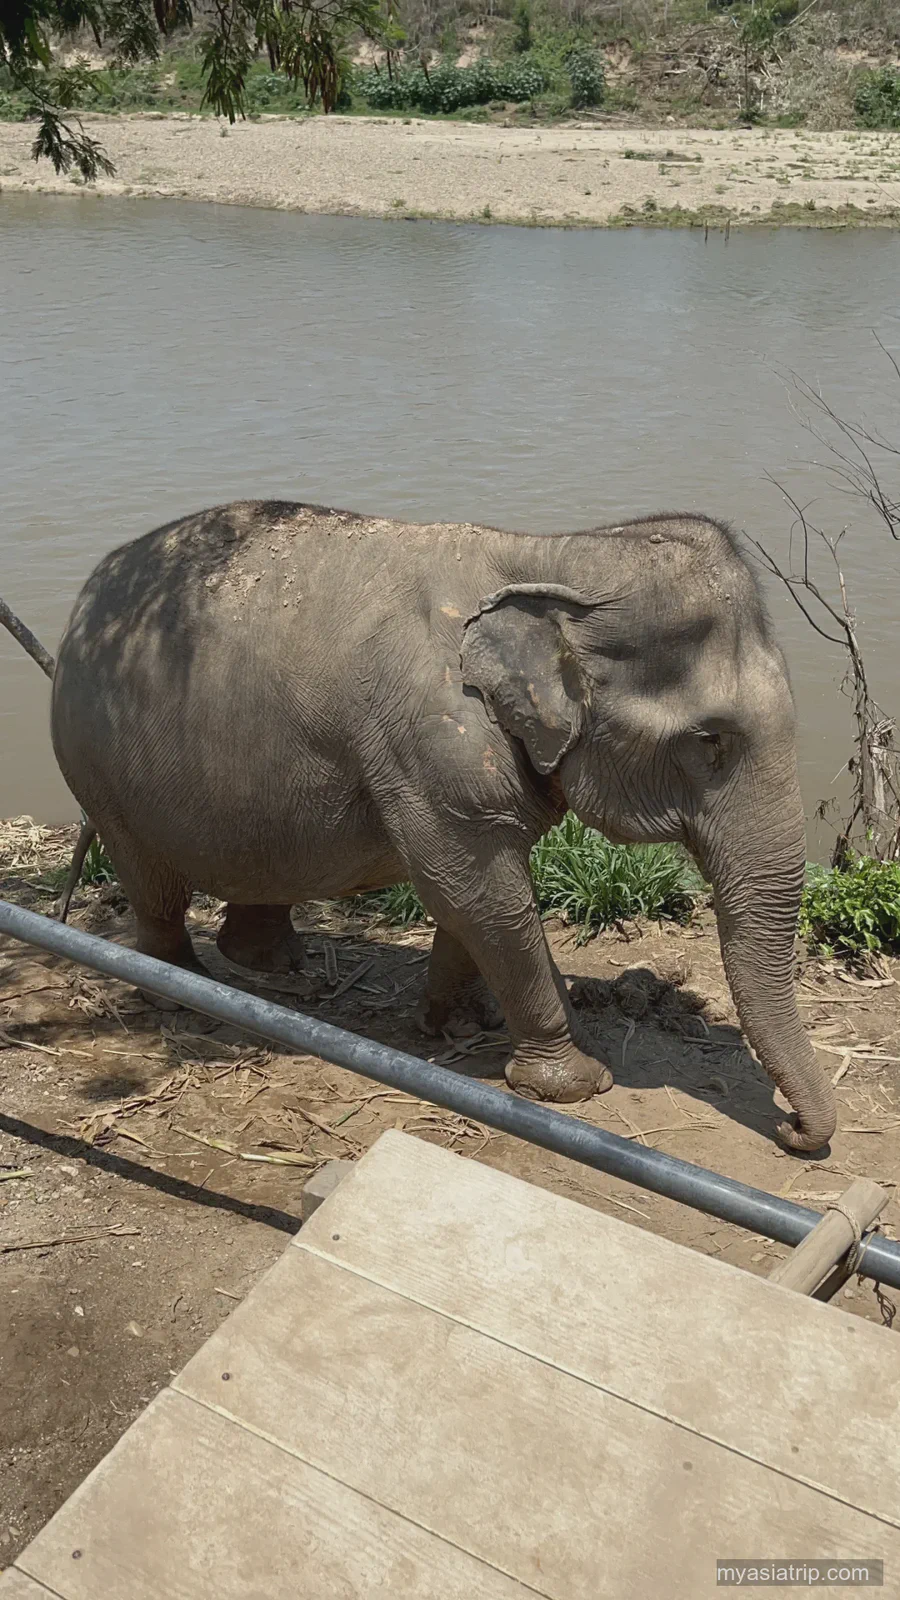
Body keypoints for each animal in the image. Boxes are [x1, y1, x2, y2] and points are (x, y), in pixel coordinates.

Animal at [50, 499, 836, 1153]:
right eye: (711, 741)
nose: (793, 1132)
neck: (550, 554)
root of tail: (83, 601)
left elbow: (471, 896)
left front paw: (458, 1026)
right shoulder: (431, 736)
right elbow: (476, 891)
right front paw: (573, 1081)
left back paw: (274, 966)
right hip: (99, 767)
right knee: (152, 885)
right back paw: (184, 990)